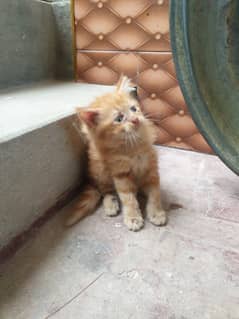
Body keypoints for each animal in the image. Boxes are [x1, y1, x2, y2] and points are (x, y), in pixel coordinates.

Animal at [65, 76, 166, 231]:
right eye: (119, 119)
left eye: (134, 109)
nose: (136, 119)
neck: (133, 146)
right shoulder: (120, 172)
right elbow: (128, 197)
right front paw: (133, 217)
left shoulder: (152, 169)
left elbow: (155, 193)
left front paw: (156, 212)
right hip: (100, 169)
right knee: (105, 191)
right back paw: (110, 204)